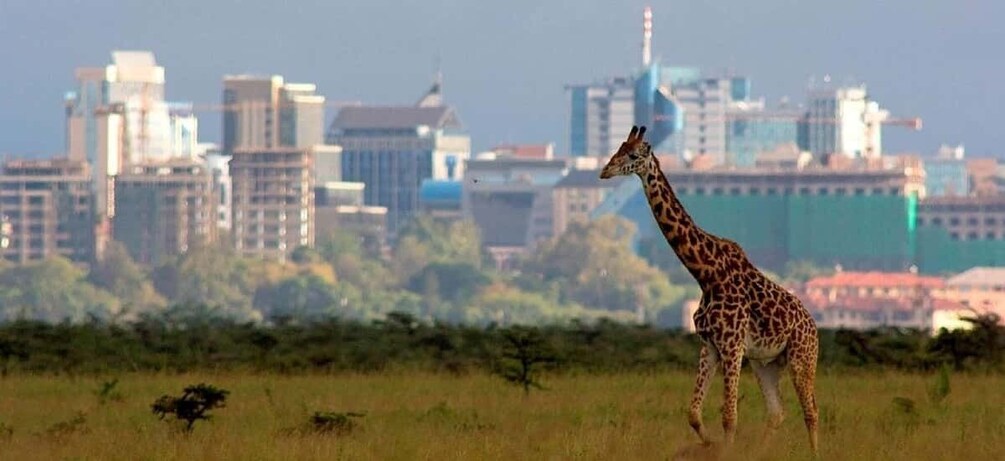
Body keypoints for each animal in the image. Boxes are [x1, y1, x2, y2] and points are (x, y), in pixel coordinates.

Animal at [598, 125, 820, 453]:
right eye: (618, 148)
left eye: (634, 155)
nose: (605, 170)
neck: (706, 274)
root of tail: (813, 327)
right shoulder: (710, 346)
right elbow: (694, 413)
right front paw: (710, 444)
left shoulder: (732, 345)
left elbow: (729, 415)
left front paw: (723, 449)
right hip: (765, 363)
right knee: (777, 412)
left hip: (802, 357)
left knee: (811, 411)